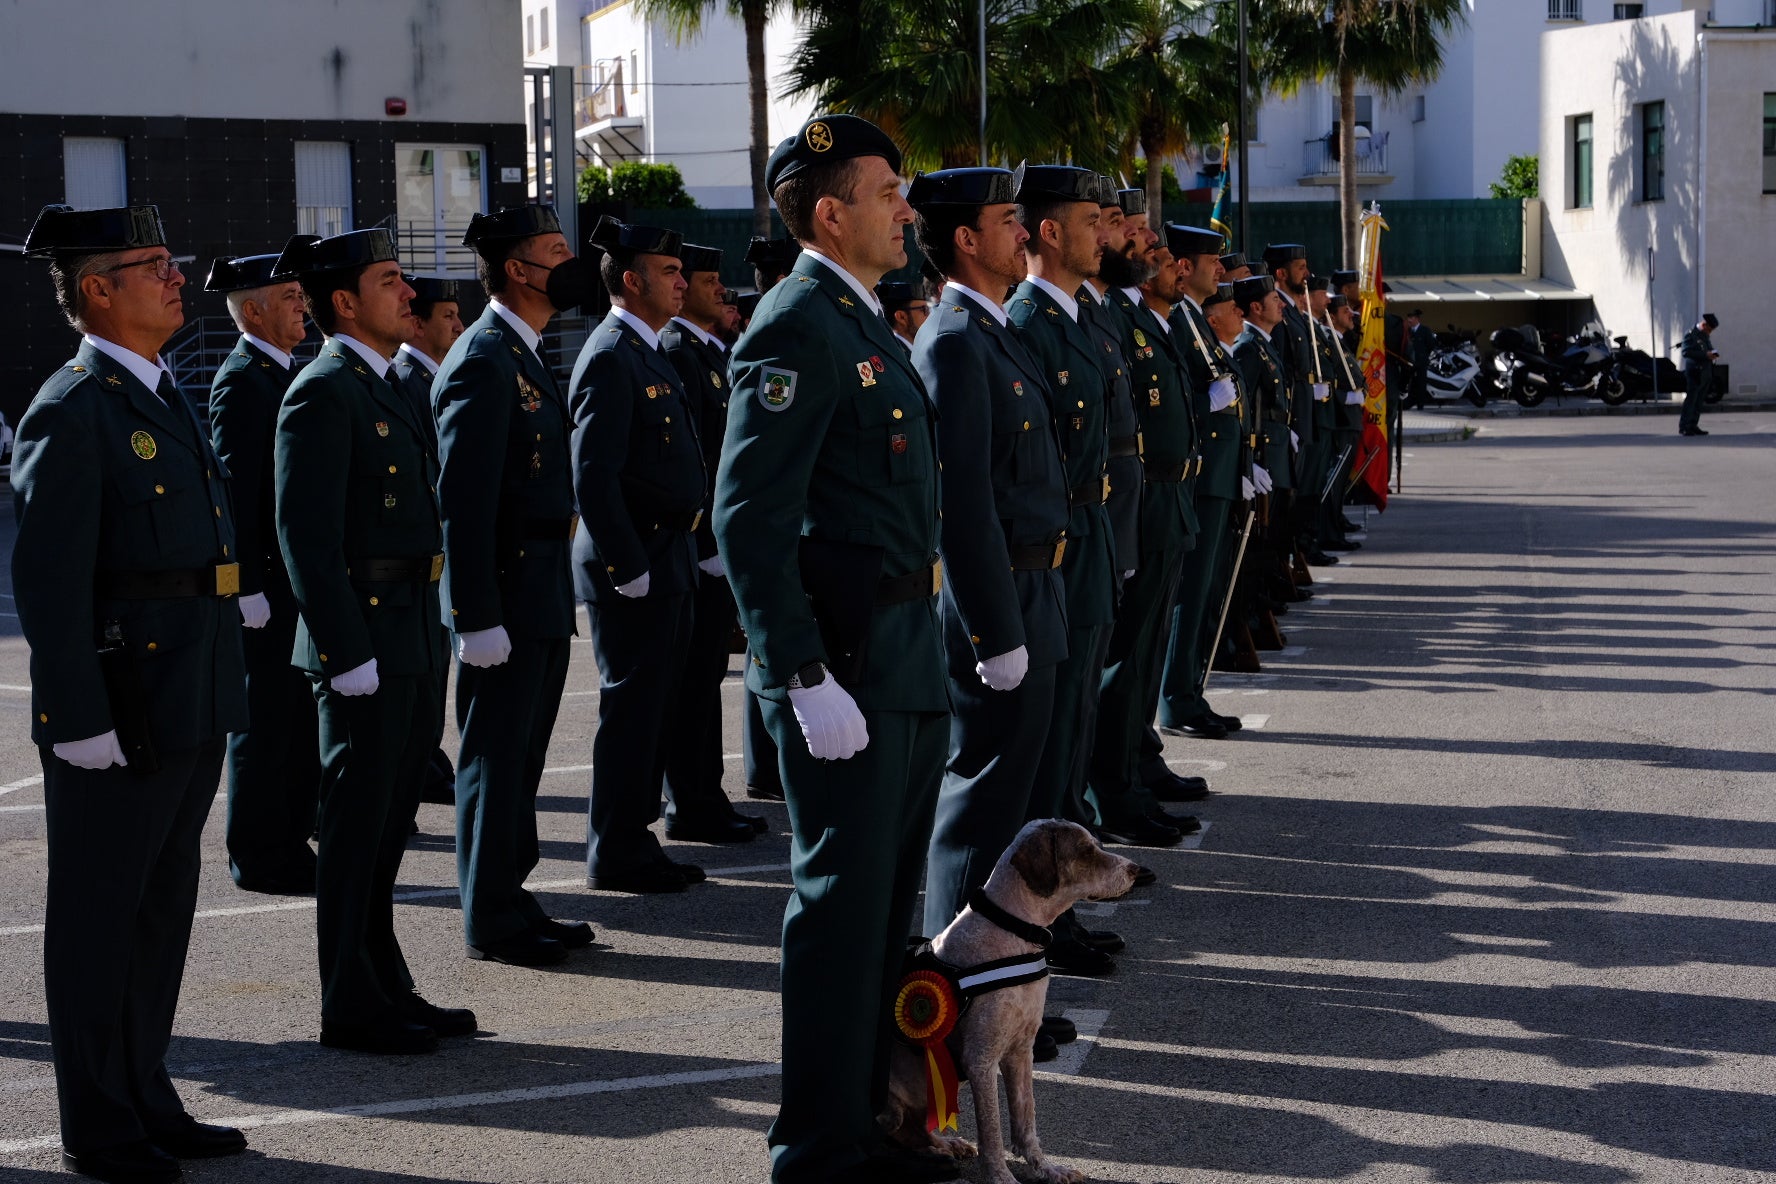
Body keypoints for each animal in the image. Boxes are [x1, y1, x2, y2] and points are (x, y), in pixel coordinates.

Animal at [880, 823, 1143, 1184]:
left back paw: (945, 1144)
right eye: (1086, 851)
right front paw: (1001, 1176)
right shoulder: (981, 1059)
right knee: (897, 1131)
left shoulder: (1021, 1050)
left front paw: (1046, 1168)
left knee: (916, 1130)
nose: (1136, 869)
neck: (1013, 931)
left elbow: (1025, 1118)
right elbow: (991, 1130)